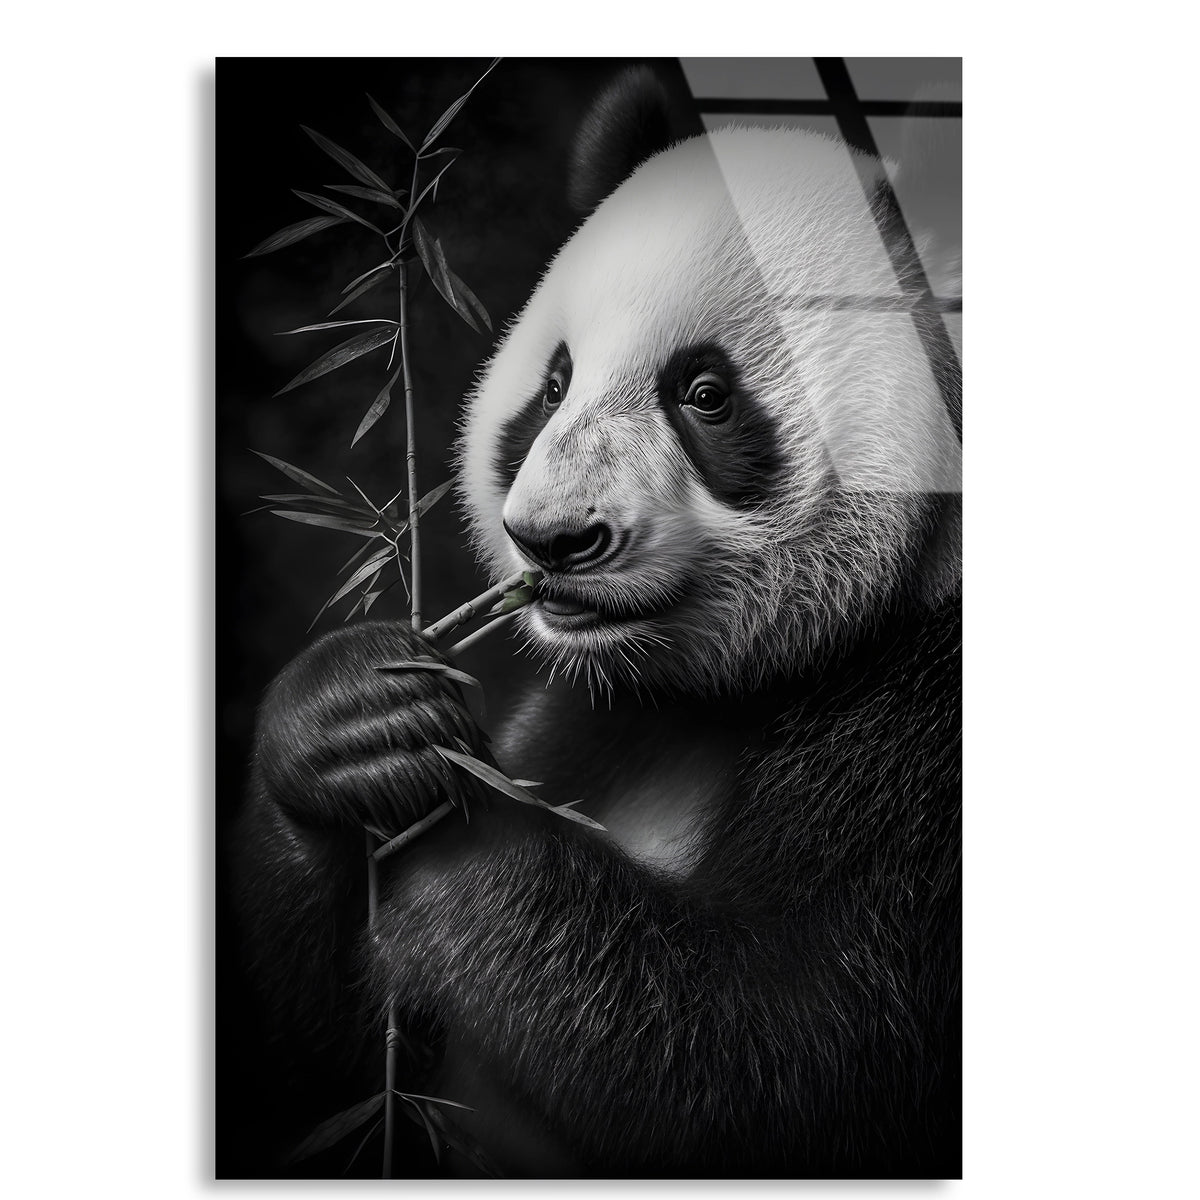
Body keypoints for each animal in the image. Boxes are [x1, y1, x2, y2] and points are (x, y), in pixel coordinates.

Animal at [233, 68, 961, 1178]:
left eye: (706, 394)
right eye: (553, 384)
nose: (553, 540)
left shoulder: (930, 738)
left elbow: (789, 1052)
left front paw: (462, 836)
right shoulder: (593, 714)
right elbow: (323, 1081)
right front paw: (353, 724)